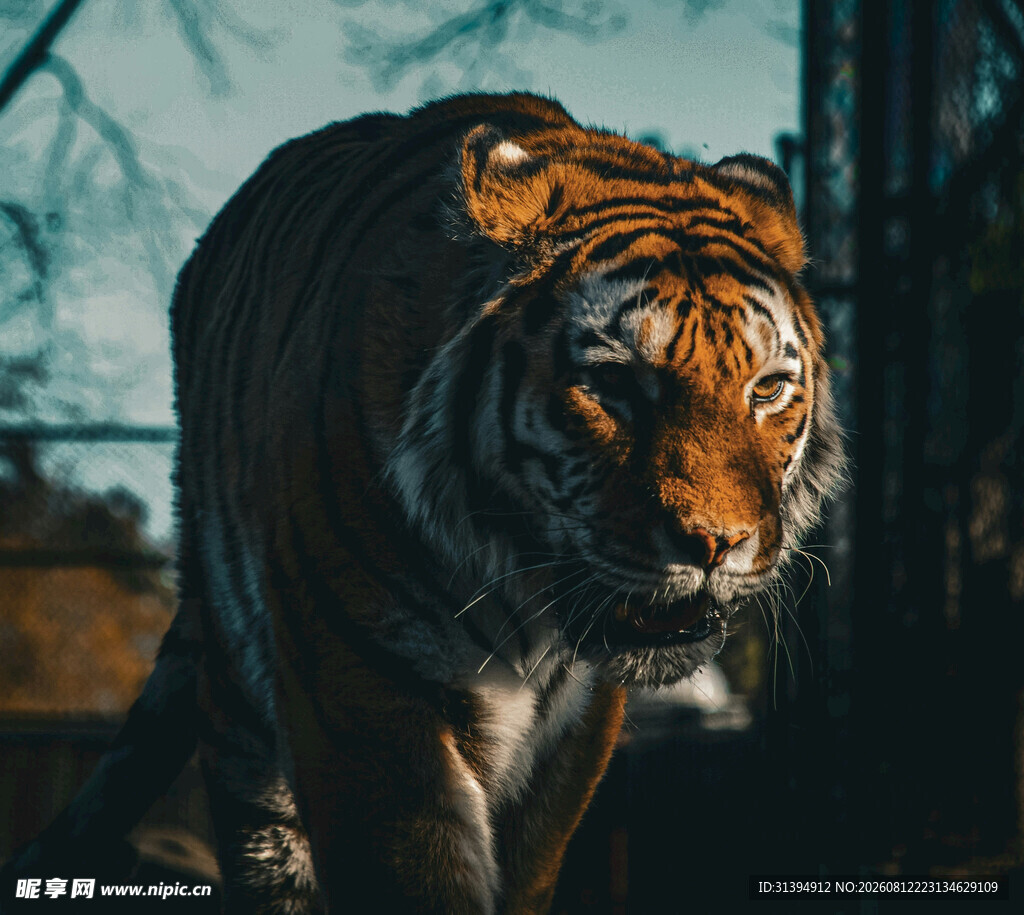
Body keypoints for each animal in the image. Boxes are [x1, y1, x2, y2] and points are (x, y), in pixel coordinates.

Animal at [1, 91, 843, 913]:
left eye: (767, 389)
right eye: (613, 384)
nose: (718, 543)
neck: (523, 597)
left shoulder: (575, 732)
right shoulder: (366, 685)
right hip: (243, 705)